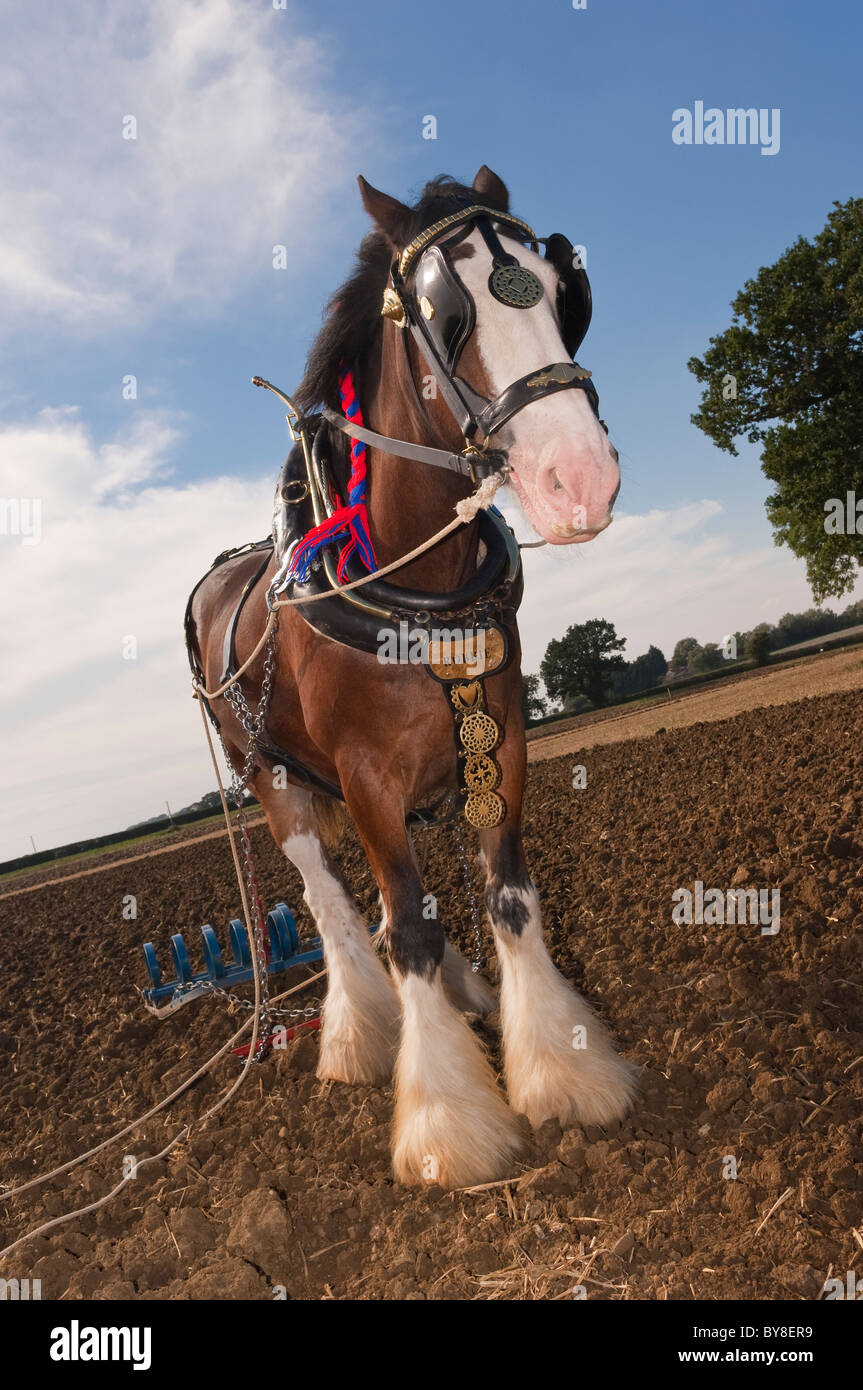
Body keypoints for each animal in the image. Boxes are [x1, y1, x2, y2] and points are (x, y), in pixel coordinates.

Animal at [188, 162, 633, 1184]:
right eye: (444, 311)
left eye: (560, 290)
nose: (580, 480)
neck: (411, 583)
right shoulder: (366, 778)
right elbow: (408, 932)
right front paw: (447, 1126)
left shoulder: (497, 741)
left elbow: (506, 897)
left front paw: (559, 1072)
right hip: (274, 778)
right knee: (332, 903)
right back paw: (359, 1034)